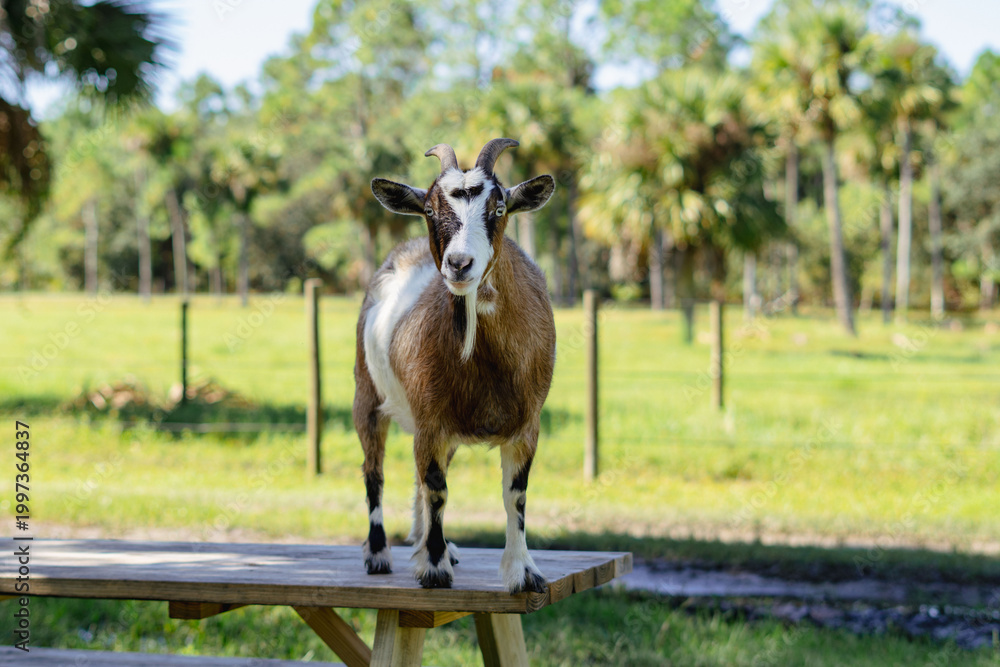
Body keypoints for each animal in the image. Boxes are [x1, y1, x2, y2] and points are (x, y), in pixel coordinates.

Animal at [355, 138, 556, 593]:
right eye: (429, 210)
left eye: (499, 208)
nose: (459, 264)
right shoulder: (430, 419)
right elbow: (437, 489)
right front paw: (433, 569)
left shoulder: (527, 425)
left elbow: (515, 495)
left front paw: (524, 573)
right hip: (367, 393)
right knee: (374, 470)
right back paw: (379, 554)